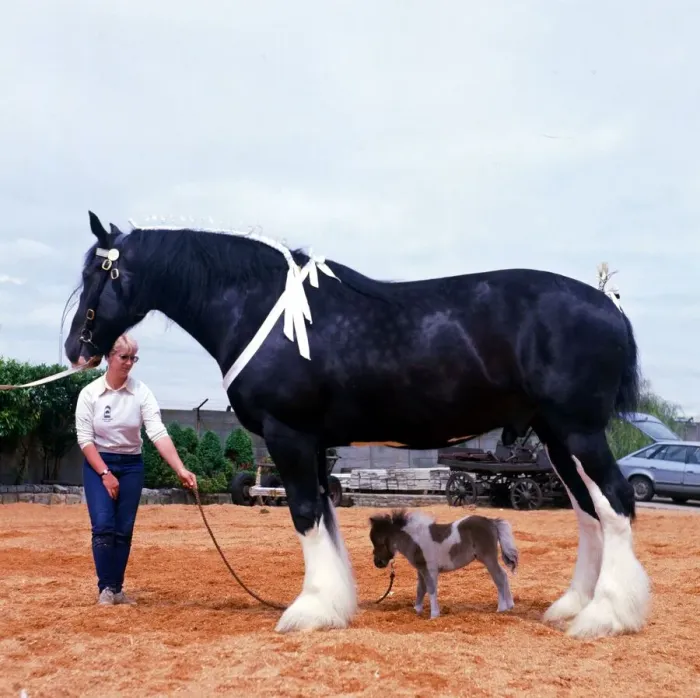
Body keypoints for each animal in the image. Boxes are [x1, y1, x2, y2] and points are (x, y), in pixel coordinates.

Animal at [369, 509, 519, 618]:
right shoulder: (421, 570)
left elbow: (431, 588)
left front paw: (434, 615)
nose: (378, 562)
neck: (416, 541)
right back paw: (510, 605)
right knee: (504, 575)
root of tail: (491, 522)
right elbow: (420, 589)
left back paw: (501, 608)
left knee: (499, 577)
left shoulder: (430, 570)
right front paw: (417, 610)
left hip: (488, 558)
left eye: (379, 541)